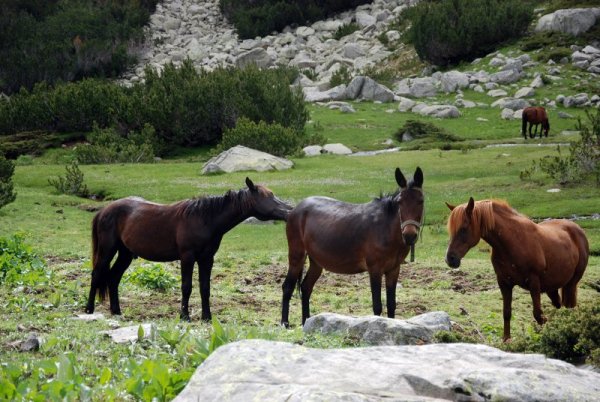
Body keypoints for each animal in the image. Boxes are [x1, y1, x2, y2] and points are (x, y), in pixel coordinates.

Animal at [85, 177, 290, 322]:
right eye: (269, 196)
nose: (289, 210)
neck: (204, 219)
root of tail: (103, 211)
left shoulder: (207, 258)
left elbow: (205, 288)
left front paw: (207, 317)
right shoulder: (187, 257)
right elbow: (187, 287)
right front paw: (185, 316)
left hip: (125, 253)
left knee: (113, 278)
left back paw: (117, 312)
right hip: (107, 250)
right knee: (97, 274)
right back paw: (89, 310)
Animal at [280, 166, 424, 326]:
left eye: (421, 201)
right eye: (400, 202)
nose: (409, 235)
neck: (385, 228)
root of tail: (294, 209)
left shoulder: (394, 269)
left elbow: (391, 305)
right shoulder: (375, 269)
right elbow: (377, 306)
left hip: (316, 262)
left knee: (306, 287)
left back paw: (306, 321)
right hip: (297, 255)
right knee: (288, 287)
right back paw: (284, 323)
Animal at [446, 197, 592, 340]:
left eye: (464, 228)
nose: (450, 259)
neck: (513, 242)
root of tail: (577, 229)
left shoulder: (534, 283)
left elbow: (538, 315)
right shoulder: (504, 283)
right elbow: (506, 313)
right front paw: (506, 340)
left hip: (571, 283)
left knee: (570, 307)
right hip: (552, 288)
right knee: (559, 306)